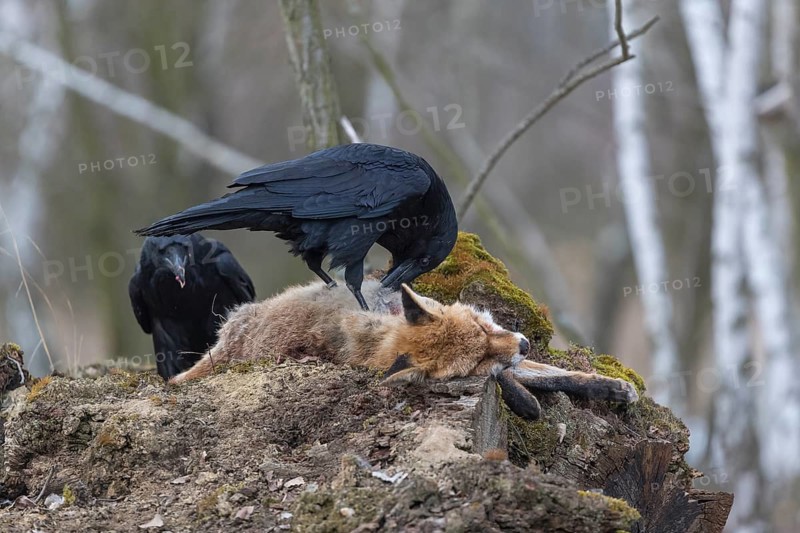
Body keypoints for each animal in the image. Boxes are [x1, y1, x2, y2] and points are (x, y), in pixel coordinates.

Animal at [170, 280, 639, 419]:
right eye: (477, 359)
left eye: (484, 327)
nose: (523, 341)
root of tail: (226, 341)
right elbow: (513, 378)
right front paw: (527, 402)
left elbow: (553, 373)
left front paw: (611, 387)